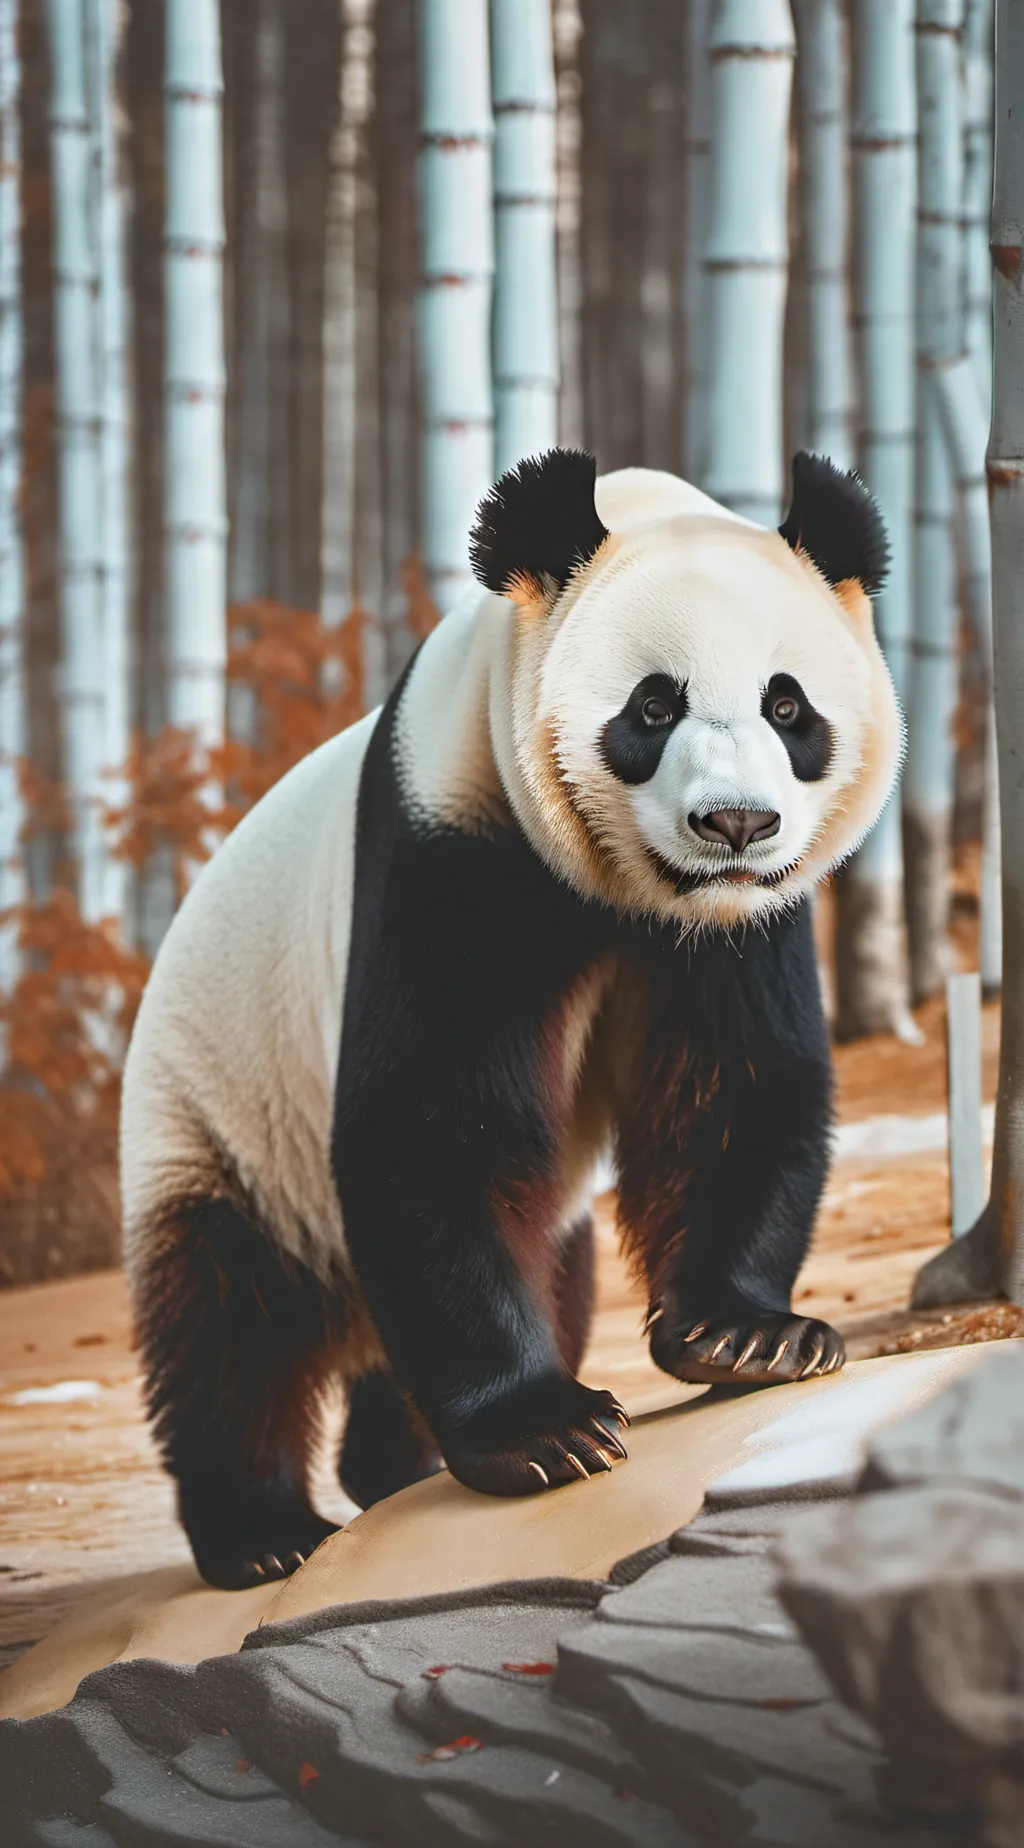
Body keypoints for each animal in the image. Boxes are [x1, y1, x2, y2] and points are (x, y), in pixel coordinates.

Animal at [121, 448, 900, 1590]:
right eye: (653, 707)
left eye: (788, 708)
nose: (735, 824)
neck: (634, 892)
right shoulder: (452, 834)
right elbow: (436, 1121)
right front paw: (540, 1431)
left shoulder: (743, 924)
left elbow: (734, 1082)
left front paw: (748, 1337)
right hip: (218, 1112)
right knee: (229, 1316)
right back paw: (263, 1533)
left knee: (544, 1266)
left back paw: (391, 1466)